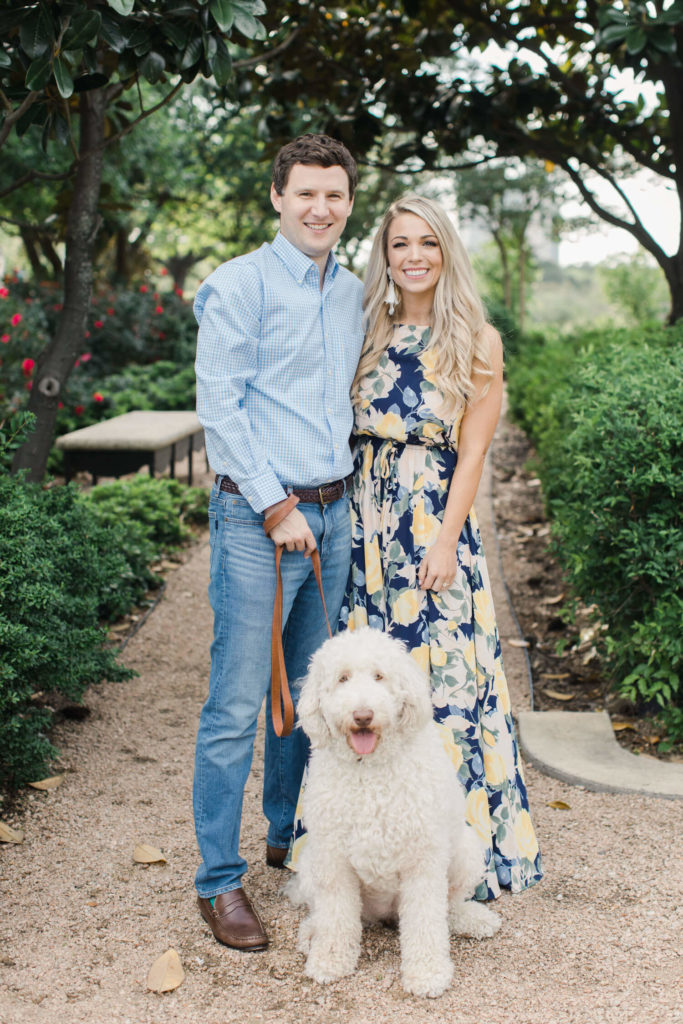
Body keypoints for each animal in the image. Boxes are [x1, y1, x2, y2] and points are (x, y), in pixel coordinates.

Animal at [286, 626, 499, 995]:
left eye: (379, 676)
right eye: (342, 678)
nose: (362, 715)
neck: (370, 769)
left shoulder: (423, 861)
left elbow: (426, 920)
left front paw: (427, 973)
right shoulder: (333, 860)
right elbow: (335, 917)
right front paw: (330, 960)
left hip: (466, 853)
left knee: (447, 906)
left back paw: (471, 919)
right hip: (312, 861)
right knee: (324, 912)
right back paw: (312, 933)